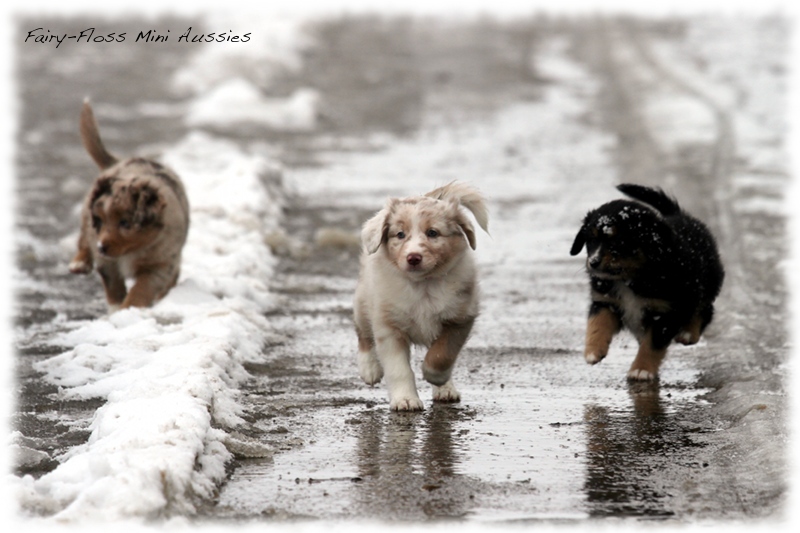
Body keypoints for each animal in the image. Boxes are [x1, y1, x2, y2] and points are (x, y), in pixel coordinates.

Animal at [69, 100, 191, 310]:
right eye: (101, 220)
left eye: (125, 223)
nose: (101, 247)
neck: (132, 251)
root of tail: (119, 162)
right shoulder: (106, 262)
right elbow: (114, 286)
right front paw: (118, 308)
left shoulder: (159, 266)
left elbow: (142, 288)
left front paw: (130, 308)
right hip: (86, 218)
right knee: (84, 239)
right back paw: (79, 263)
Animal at [354, 181, 488, 410]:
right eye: (400, 234)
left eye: (432, 233)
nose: (413, 257)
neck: (422, 285)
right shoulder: (389, 327)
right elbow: (399, 369)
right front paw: (405, 400)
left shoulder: (460, 318)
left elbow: (442, 354)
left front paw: (437, 378)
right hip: (363, 301)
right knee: (363, 334)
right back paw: (369, 369)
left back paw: (445, 388)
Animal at [568, 183, 724, 378]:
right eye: (591, 240)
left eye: (619, 242)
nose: (593, 262)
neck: (628, 279)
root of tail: (679, 214)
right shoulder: (605, 301)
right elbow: (597, 322)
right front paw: (593, 351)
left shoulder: (664, 311)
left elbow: (651, 344)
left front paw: (641, 369)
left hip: (706, 283)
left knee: (704, 309)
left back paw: (688, 333)